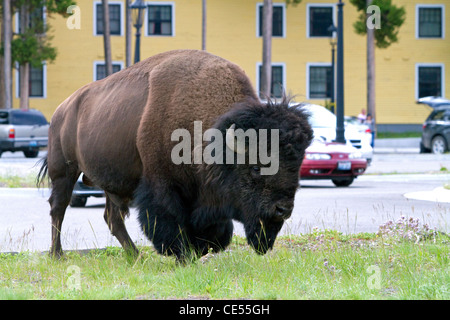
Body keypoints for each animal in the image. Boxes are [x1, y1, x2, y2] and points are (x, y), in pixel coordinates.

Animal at [37, 50, 312, 260]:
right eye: (255, 167)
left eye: (296, 165)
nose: (283, 209)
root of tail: (62, 110)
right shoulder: (162, 185)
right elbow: (170, 221)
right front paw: (182, 255)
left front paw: (200, 250)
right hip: (64, 173)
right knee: (58, 209)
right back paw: (57, 255)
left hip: (109, 182)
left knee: (112, 217)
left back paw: (135, 256)